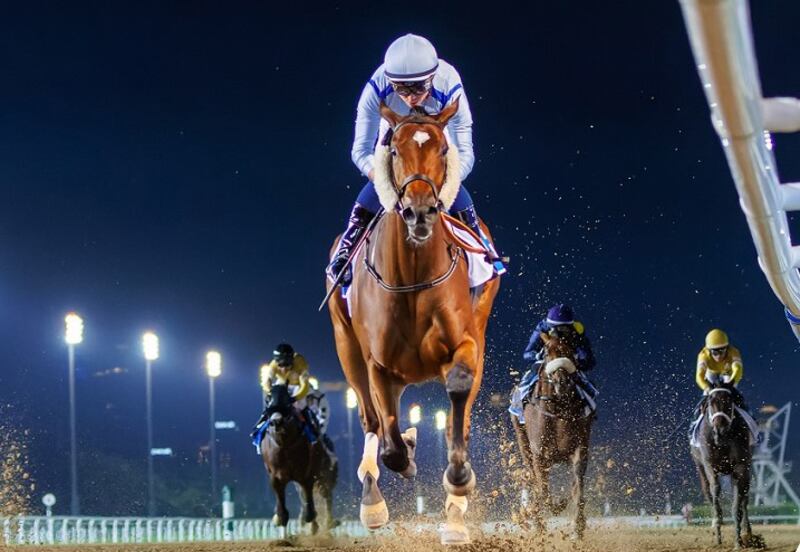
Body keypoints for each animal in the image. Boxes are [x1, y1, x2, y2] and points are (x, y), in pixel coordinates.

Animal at [260, 384, 338, 536]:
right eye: (268, 400)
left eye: (288, 402)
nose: (276, 422)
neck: (285, 444)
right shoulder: (275, 477)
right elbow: (283, 510)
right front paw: (281, 527)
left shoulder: (306, 475)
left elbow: (310, 508)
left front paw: (311, 524)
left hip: (325, 477)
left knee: (326, 497)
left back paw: (329, 523)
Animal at [324, 99, 500, 544]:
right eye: (394, 148)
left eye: (443, 148)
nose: (419, 211)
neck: (415, 277)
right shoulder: (378, 365)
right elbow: (389, 443)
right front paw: (403, 457)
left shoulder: (467, 341)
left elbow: (458, 392)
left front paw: (458, 478)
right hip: (346, 346)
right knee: (371, 420)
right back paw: (373, 500)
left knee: (459, 414)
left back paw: (454, 518)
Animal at [512, 332, 592, 540]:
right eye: (547, 352)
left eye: (570, 351)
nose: (561, 381)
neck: (558, 410)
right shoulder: (539, 454)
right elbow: (543, 492)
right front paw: (553, 510)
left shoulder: (579, 449)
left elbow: (577, 488)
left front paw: (578, 528)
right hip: (523, 443)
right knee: (531, 479)